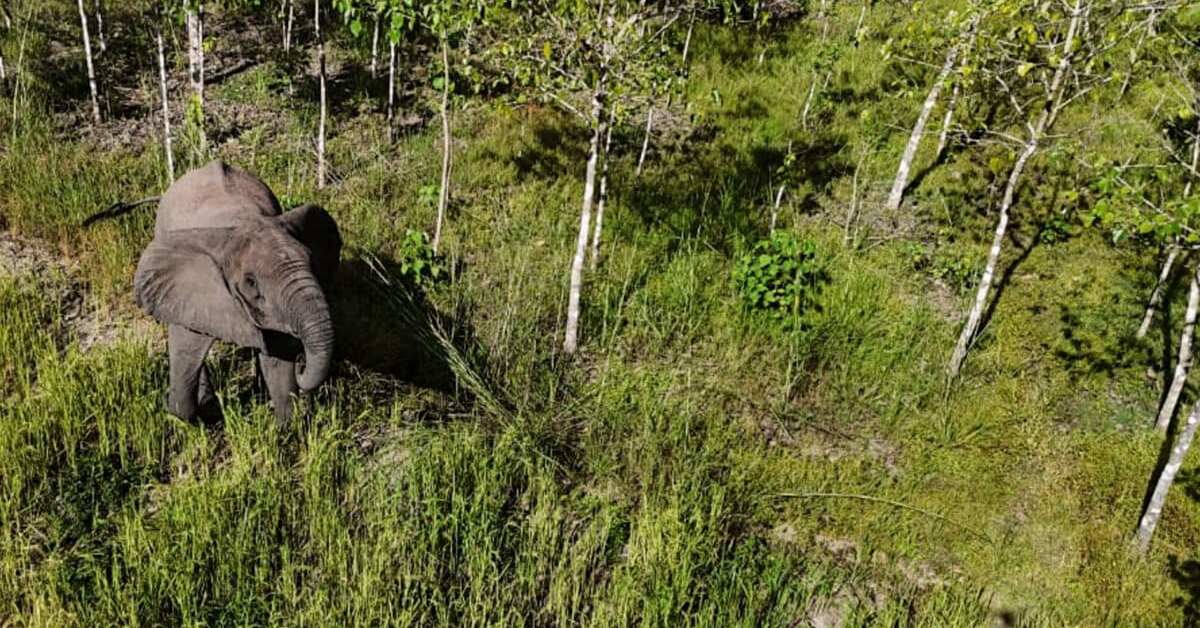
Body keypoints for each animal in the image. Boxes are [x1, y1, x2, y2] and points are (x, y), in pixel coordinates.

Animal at [133, 160, 341, 424]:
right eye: (251, 283)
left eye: (312, 261)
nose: (302, 367)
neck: (241, 222)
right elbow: (187, 350)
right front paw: (193, 418)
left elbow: (278, 357)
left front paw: (285, 427)